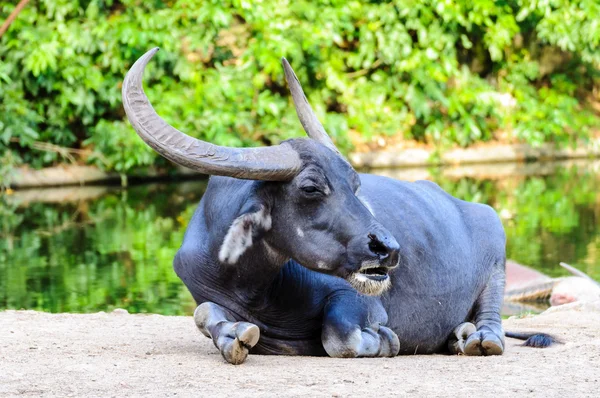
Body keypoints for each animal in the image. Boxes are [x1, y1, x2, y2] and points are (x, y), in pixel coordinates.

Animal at [122, 49, 548, 364]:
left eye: (355, 184)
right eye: (311, 188)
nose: (388, 249)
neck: (253, 287)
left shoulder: (358, 301)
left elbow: (340, 337)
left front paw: (385, 341)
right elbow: (203, 313)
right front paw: (234, 337)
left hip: (496, 260)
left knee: (492, 319)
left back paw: (476, 338)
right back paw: (458, 335)